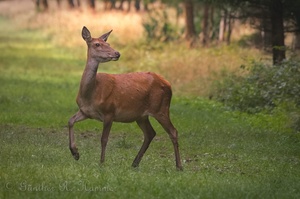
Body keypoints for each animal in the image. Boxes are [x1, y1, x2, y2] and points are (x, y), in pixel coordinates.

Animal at [68, 25, 183, 170]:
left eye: (108, 44)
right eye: (97, 44)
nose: (117, 53)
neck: (91, 93)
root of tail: (169, 84)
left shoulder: (109, 111)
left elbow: (104, 139)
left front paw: (101, 163)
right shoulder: (85, 111)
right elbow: (70, 121)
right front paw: (75, 153)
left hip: (161, 108)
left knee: (173, 131)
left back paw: (179, 166)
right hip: (141, 115)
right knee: (150, 133)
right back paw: (135, 163)